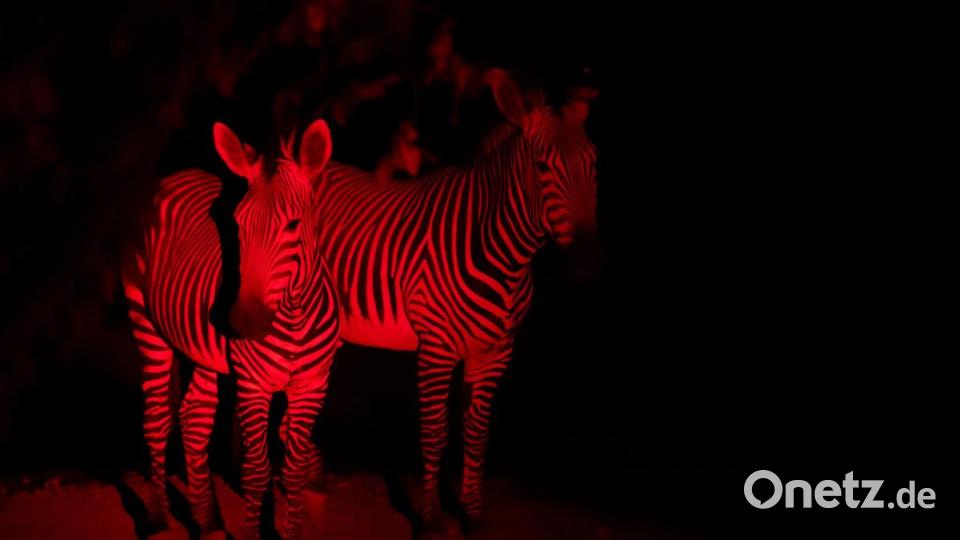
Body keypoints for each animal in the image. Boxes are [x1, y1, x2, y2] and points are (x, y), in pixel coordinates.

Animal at [123, 119, 340, 539]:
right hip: (145, 322)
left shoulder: (312, 384)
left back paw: (207, 524)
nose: (242, 322)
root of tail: (174, 176)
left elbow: (292, 470)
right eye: (237, 225)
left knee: (194, 417)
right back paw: (158, 520)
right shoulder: (252, 384)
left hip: (204, 351)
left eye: (293, 225)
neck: (294, 316)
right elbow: (256, 472)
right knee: (156, 419)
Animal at [313, 69, 598, 528]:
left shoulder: (496, 350)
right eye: (542, 167)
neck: (502, 254)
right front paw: (431, 519)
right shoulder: (436, 347)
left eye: (594, 164)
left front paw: (473, 513)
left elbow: (477, 433)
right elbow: (434, 432)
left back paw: (309, 478)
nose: (590, 262)